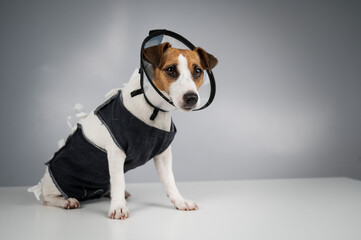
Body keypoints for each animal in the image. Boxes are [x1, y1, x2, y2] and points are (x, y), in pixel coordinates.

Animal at [28, 41, 217, 219]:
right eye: (170, 69)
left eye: (198, 71)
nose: (191, 98)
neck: (153, 108)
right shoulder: (115, 153)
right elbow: (119, 180)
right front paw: (118, 208)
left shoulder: (163, 154)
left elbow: (169, 180)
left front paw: (180, 201)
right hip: (55, 183)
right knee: (47, 198)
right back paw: (67, 201)